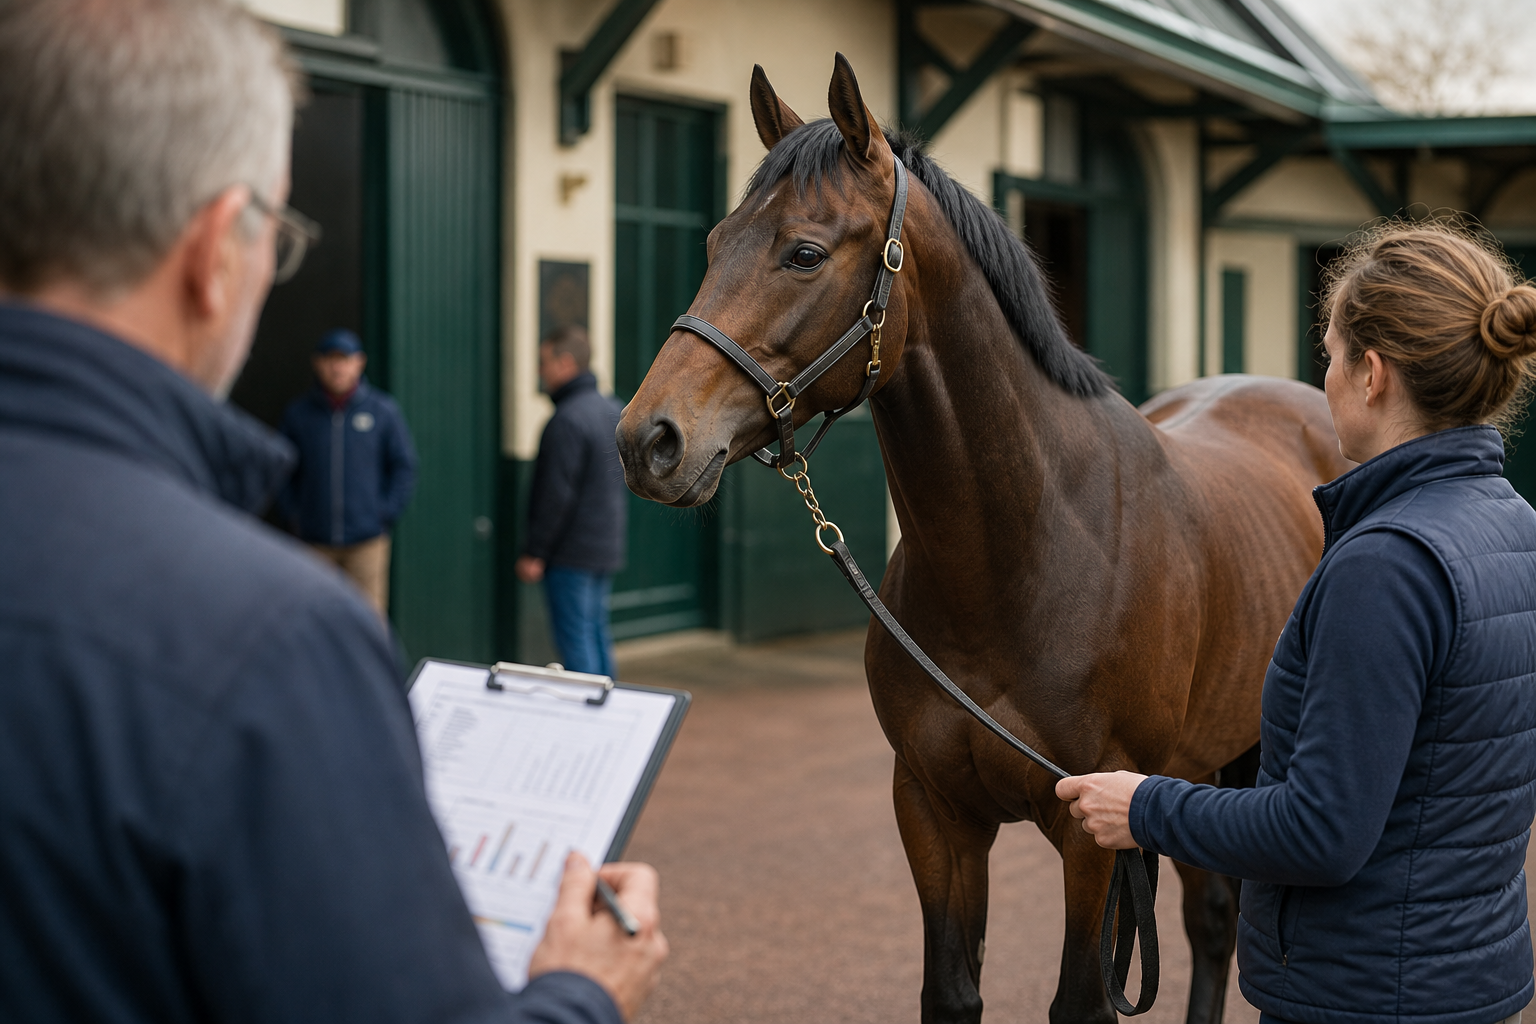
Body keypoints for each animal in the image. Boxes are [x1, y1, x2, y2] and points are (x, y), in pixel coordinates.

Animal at [615, 54, 1352, 1024]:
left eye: (804, 252)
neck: (1023, 555)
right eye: (712, 244)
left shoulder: (1092, 830)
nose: (648, 440)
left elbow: (1081, 999)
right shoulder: (934, 812)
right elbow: (953, 989)